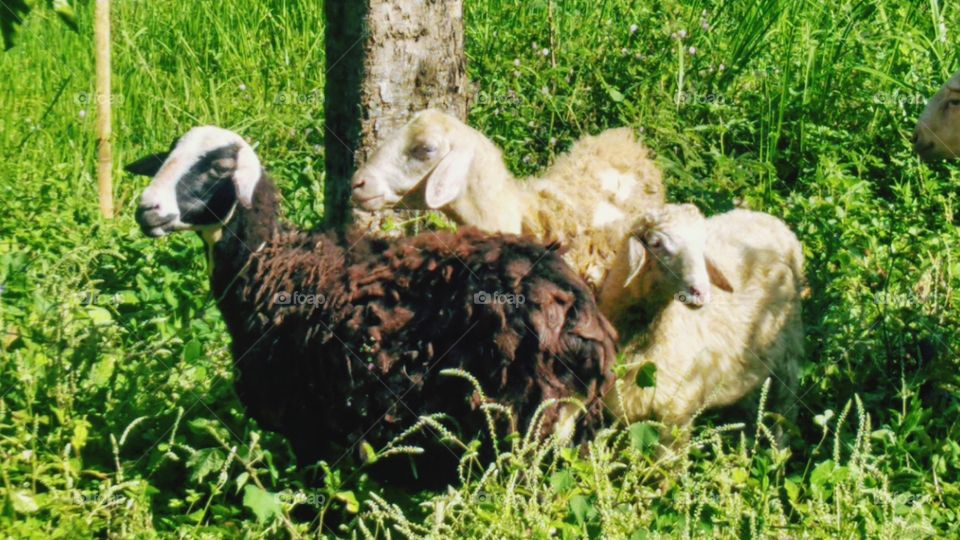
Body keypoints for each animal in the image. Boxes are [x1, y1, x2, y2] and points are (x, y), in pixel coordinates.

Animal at [127, 125, 618, 486]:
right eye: (166, 157)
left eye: (218, 166)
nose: (147, 209)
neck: (273, 264)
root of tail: (577, 317)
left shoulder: (308, 426)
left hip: (516, 424)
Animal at [597, 203, 804, 442]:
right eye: (656, 243)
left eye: (702, 246)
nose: (701, 292)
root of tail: (767, 217)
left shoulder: (678, 410)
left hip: (787, 353)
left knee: (785, 408)